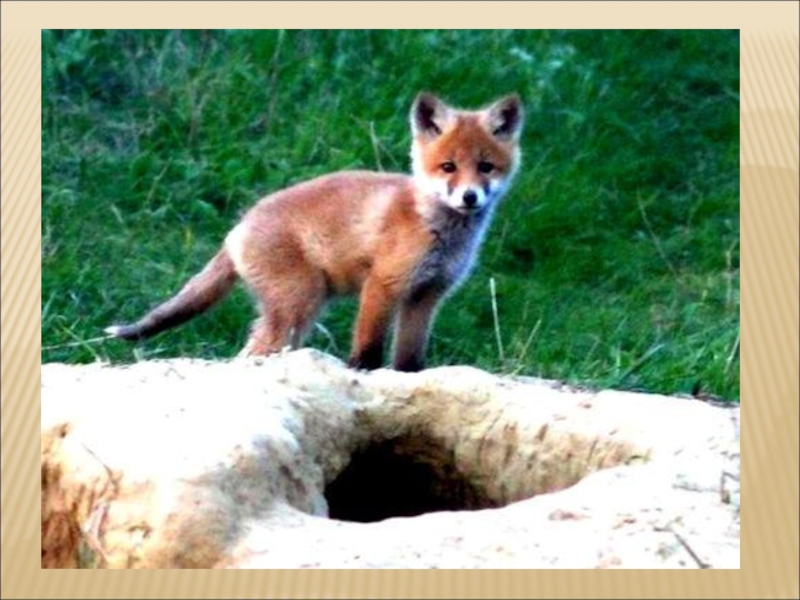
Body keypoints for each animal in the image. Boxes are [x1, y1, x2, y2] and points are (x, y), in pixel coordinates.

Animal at [105, 92, 524, 372]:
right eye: (448, 167)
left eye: (486, 167)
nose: (470, 197)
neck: (436, 228)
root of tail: (237, 226)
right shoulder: (384, 284)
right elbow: (368, 349)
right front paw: (362, 374)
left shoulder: (426, 296)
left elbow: (409, 359)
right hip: (299, 304)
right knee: (250, 355)